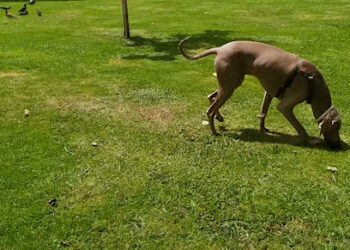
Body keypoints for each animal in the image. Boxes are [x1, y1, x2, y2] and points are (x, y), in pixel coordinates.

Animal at [179, 38, 340, 147]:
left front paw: (263, 130)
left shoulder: (269, 92)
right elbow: (299, 126)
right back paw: (214, 131)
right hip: (229, 86)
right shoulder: (286, 106)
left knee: (211, 97)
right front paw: (311, 140)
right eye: (336, 128)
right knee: (210, 110)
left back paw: (219, 117)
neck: (313, 82)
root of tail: (220, 48)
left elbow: (263, 112)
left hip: (232, 83)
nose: (338, 144)